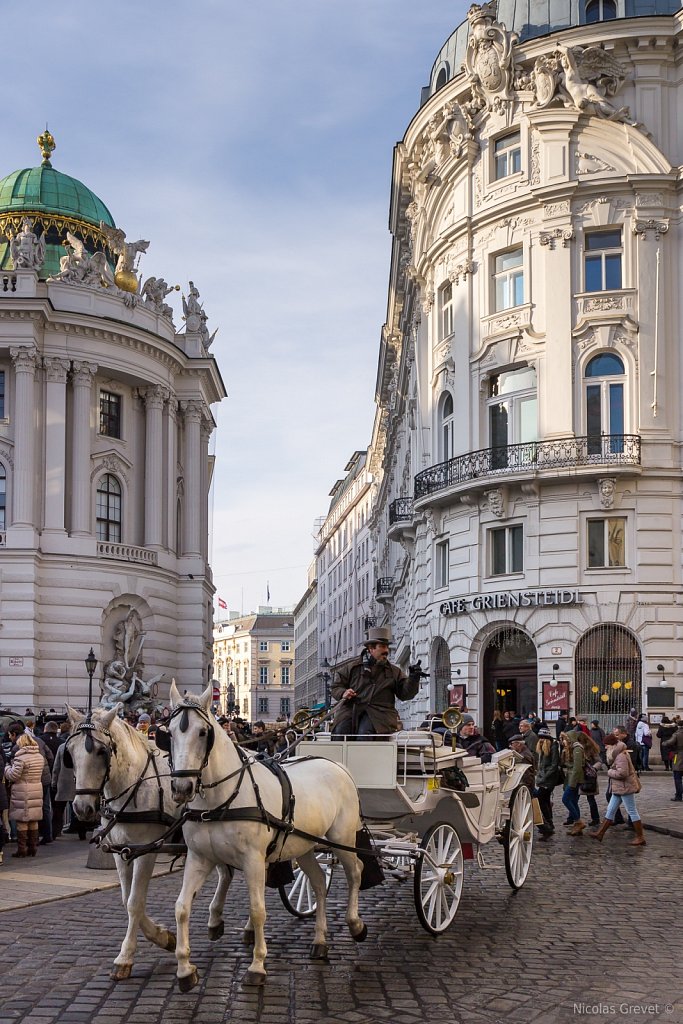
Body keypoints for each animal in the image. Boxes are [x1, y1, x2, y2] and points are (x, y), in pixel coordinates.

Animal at [67, 708, 232, 978]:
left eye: (101, 751)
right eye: (70, 752)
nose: (82, 808)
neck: (135, 783)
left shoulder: (146, 851)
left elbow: (135, 903)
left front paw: (125, 957)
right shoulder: (121, 852)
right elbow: (127, 900)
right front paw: (165, 937)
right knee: (226, 873)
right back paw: (216, 920)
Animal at [166, 684, 368, 987]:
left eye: (203, 733)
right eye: (169, 732)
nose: (182, 787)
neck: (221, 800)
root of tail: (336, 765)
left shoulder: (252, 859)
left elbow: (257, 909)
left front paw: (257, 964)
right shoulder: (199, 858)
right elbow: (181, 906)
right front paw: (184, 968)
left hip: (342, 839)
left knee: (356, 871)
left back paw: (355, 924)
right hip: (305, 845)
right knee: (319, 882)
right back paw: (320, 941)